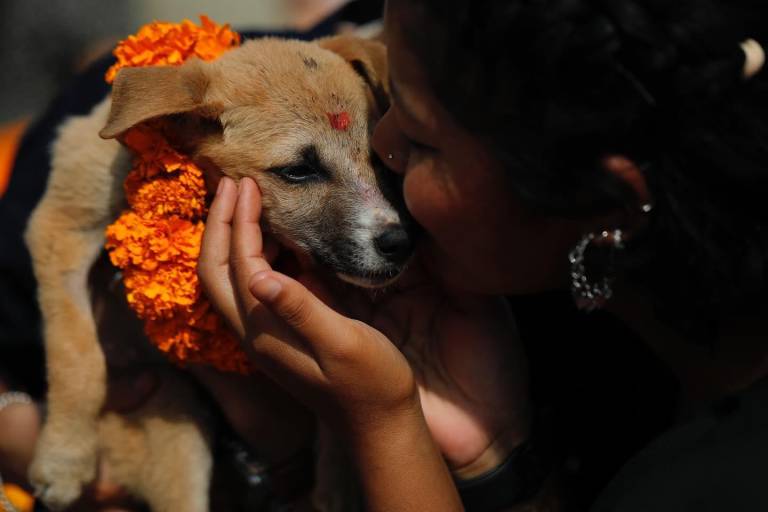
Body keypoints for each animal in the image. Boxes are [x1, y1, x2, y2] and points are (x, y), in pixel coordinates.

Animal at [24, 34, 408, 510]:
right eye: (299, 170)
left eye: (377, 157)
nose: (399, 243)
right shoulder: (61, 225)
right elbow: (75, 351)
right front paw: (64, 458)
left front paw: (341, 479)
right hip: (174, 419)